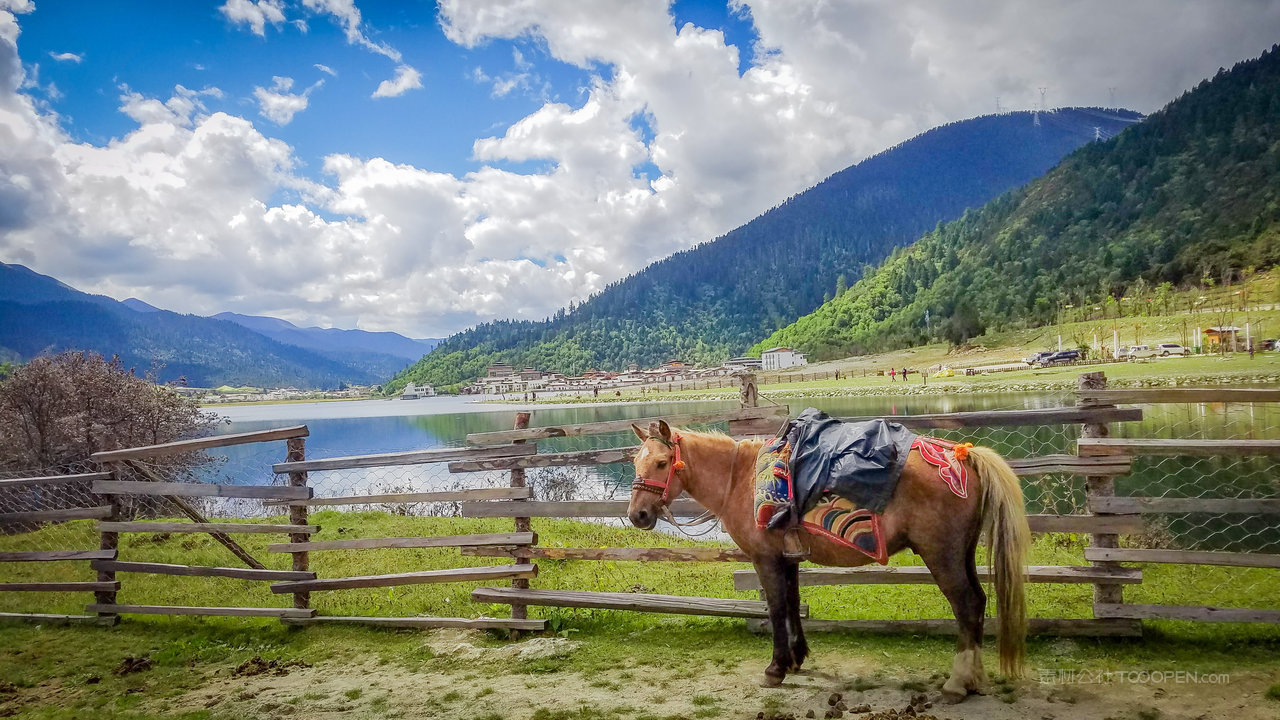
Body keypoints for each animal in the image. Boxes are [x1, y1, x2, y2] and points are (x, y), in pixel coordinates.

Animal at [626, 420, 1030, 702]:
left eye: (662, 462)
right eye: (636, 463)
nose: (637, 516)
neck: (739, 479)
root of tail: (961, 455)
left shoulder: (765, 560)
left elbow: (776, 609)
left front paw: (775, 668)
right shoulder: (787, 558)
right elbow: (792, 604)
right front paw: (796, 659)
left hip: (942, 556)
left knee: (966, 605)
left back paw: (958, 683)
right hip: (961, 554)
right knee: (978, 603)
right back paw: (973, 679)